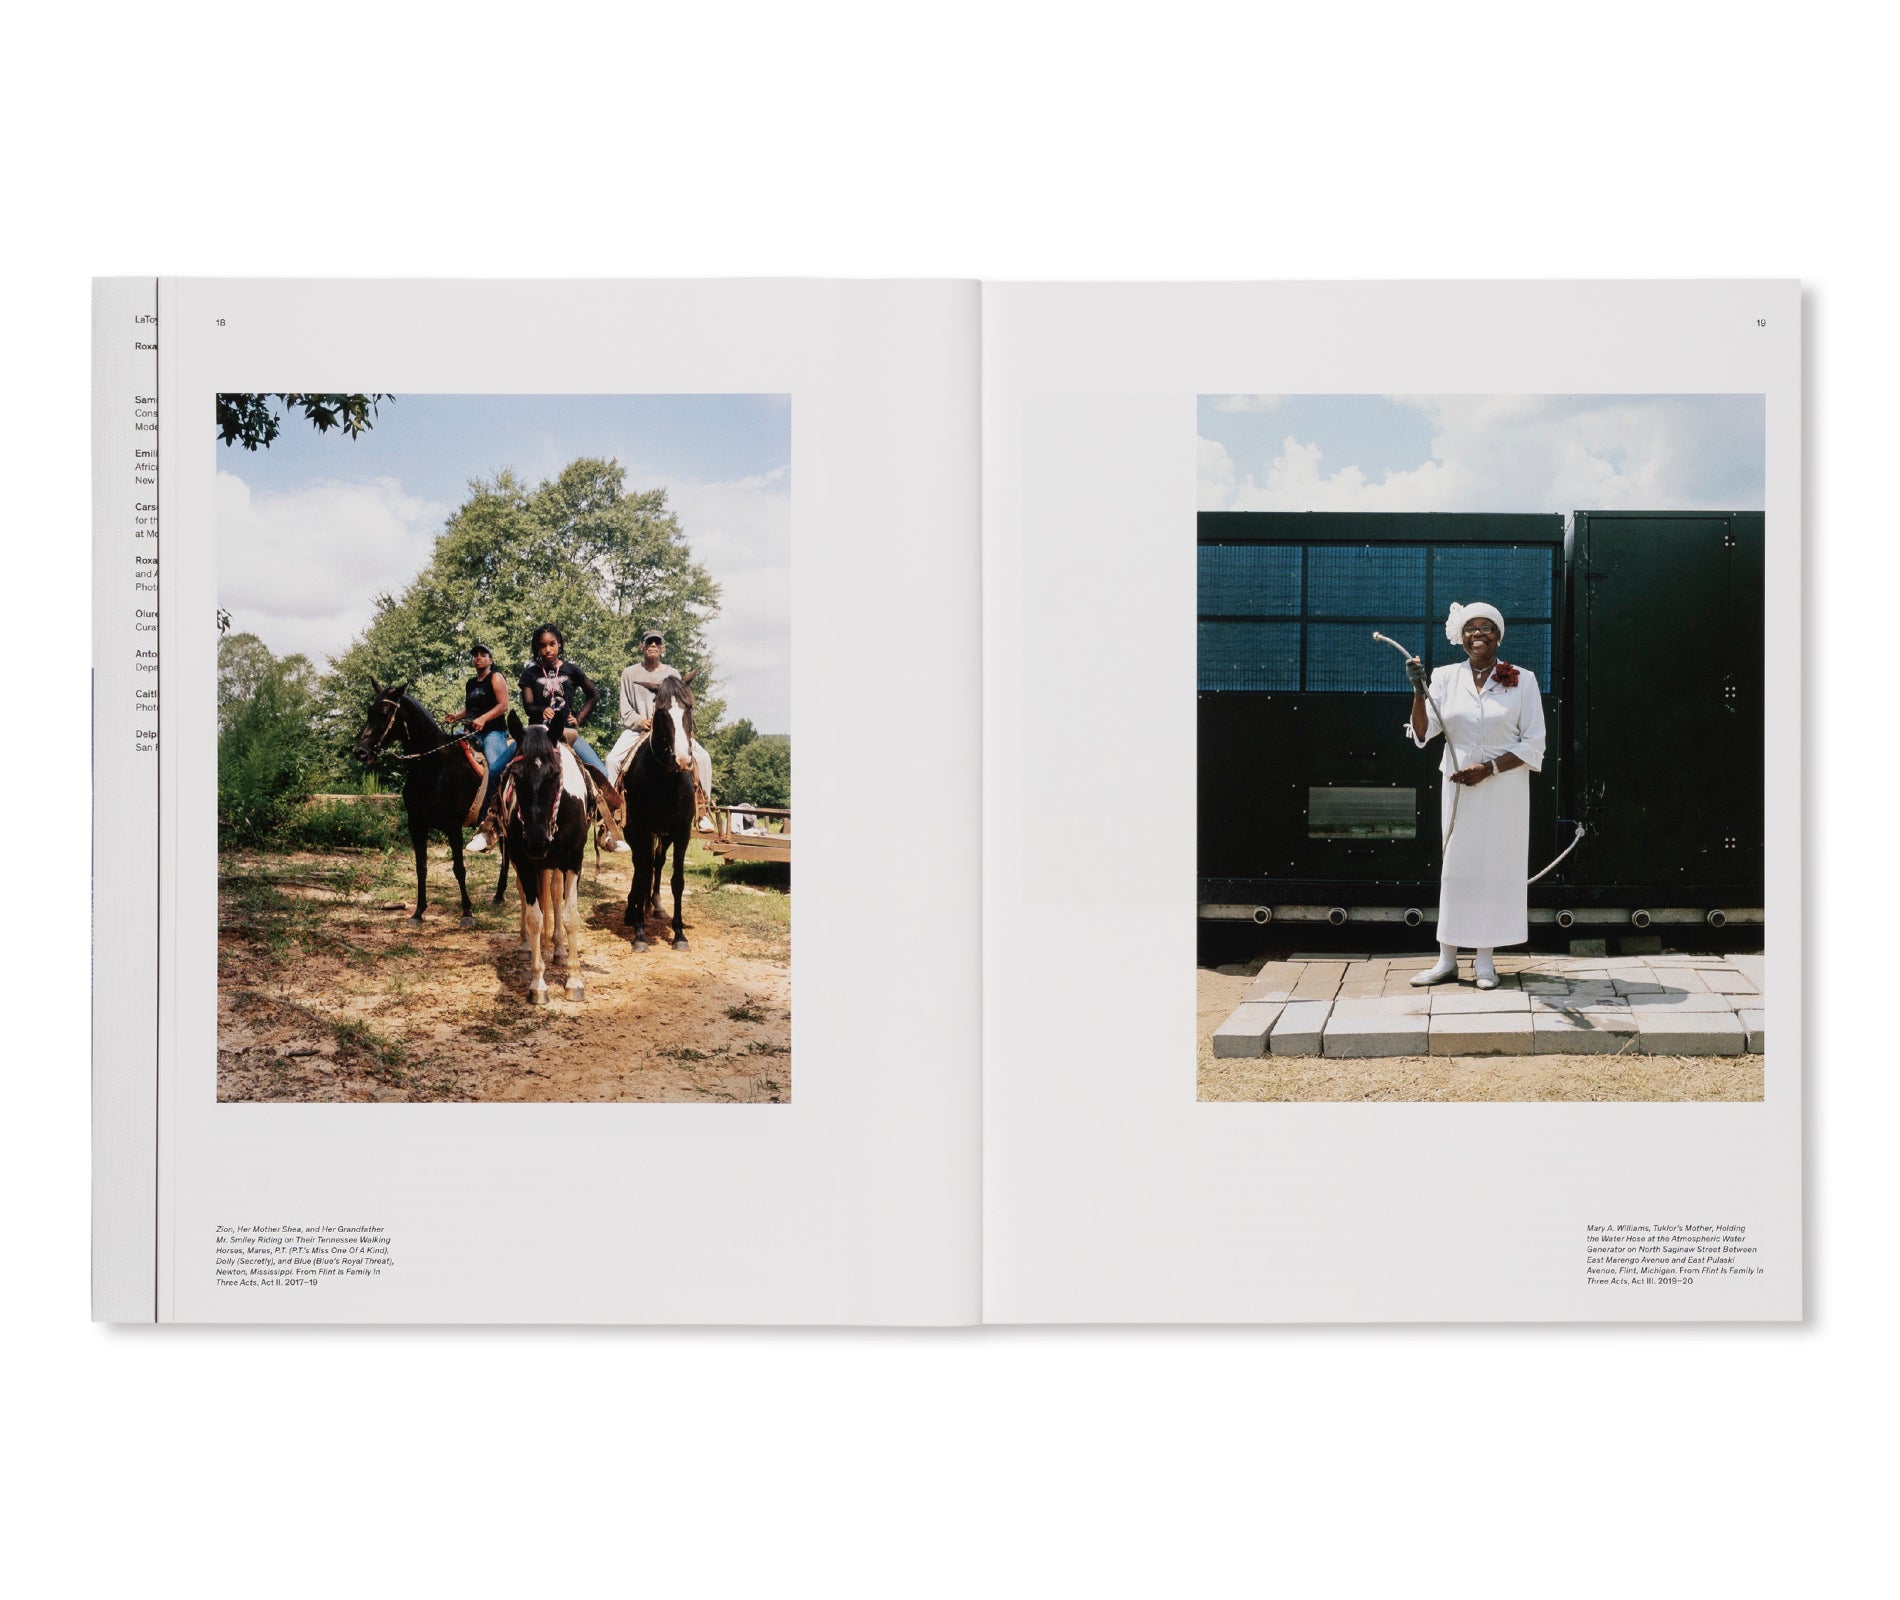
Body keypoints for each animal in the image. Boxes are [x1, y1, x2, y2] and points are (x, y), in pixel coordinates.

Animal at [349, 684, 497, 927]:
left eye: (385, 714)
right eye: (369, 712)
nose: (360, 752)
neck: (433, 765)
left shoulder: (453, 827)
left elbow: (459, 868)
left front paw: (467, 912)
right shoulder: (417, 824)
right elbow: (421, 867)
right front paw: (418, 912)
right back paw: (499, 896)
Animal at [501, 710, 589, 995]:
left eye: (555, 774)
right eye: (516, 776)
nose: (536, 842)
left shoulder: (574, 861)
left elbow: (571, 916)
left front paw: (574, 979)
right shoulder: (525, 862)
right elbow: (534, 918)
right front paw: (538, 984)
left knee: (554, 893)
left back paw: (560, 950)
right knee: (524, 893)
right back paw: (526, 946)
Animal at [623, 672, 699, 946]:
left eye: (689, 707)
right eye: (661, 711)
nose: (683, 760)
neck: (666, 781)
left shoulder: (681, 832)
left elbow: (677, 880)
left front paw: (679, 933)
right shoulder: (641, 829)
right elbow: (642, 871)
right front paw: (640, 932)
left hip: (664, 836)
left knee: (656, 862)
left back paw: (652, 904)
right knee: (640, 865)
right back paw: (633, 909)